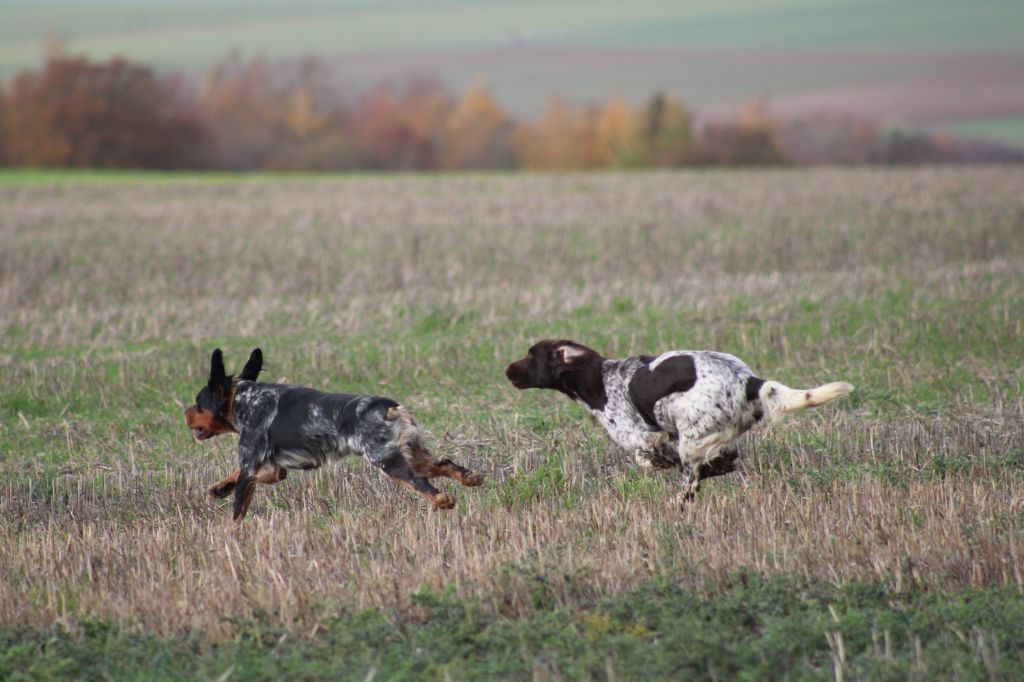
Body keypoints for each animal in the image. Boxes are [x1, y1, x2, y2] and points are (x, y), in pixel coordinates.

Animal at [186, 348, 481, 518]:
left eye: (198, 403)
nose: (185, 413)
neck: (244, 398)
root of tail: (390, 407)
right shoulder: (271, 468)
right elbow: (238, 478)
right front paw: (218, 488)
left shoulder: (251, 464)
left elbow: (237, 511)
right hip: (412, 454)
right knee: (446, 464)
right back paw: (470, 478)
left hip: (387, 460)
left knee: (421, 482)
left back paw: (443, 500)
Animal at [501, 339, 847, 499]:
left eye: (531, 355)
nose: (506, 369)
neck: (598, 379)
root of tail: (751, 380)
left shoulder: (642, 437)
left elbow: (650, 458)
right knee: (726, 460)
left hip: (691, 433)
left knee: (692, 481)